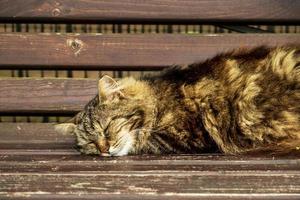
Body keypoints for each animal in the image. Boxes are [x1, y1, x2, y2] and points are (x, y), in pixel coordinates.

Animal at [55, 46, 300, 157]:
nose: (104, 150)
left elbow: (143, 140)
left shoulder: (188, 132)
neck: (160, 97)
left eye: (106, 129)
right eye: (90, 143)